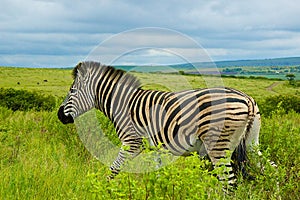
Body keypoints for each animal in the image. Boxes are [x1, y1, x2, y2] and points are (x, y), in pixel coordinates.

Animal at [57, 61, 262, 188]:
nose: (59, 115)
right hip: (252, 143)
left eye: (72, 91)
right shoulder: (155, 148)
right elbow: (158, 174)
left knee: (228, 183)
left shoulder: (132, 143)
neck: (123, 105)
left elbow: (114, 168)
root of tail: (247, 99)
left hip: (218, 145)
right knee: (265, 169)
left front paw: (103, 188)